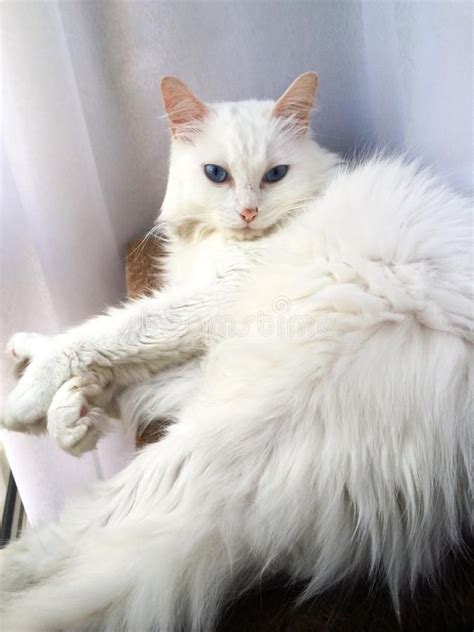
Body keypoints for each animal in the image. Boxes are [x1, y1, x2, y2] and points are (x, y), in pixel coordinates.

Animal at [1, 75, 472, 632]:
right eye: (216, 174)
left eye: (275, 175)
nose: (248, 212)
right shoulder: (200, 321)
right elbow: (122, 349)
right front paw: (46, 375)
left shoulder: (211, 297)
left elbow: (115, 329)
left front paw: (28, 396)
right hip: (222, 378)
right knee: (145, 398)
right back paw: (73, 413)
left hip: (216, 433)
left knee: (93, 519)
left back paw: (14, 562)